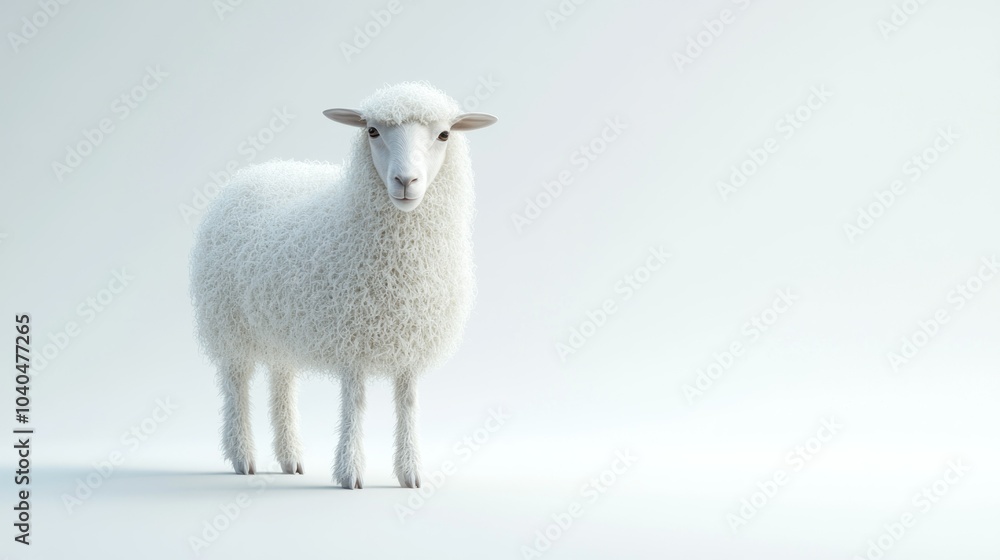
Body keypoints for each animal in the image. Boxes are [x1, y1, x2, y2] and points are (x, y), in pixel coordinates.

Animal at [190, 82, 496, 489]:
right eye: (372, 131)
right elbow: (356, 402)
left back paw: (290, 457)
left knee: (282, 381)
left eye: (444, 134)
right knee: (236, 385)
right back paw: (243, 457)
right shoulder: (352, 335)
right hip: (229, 324)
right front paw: (350, 471)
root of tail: (256, 172)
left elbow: (408, 402)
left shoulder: (411, 339)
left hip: (279, 324)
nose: (405, 182)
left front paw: (410, 472)